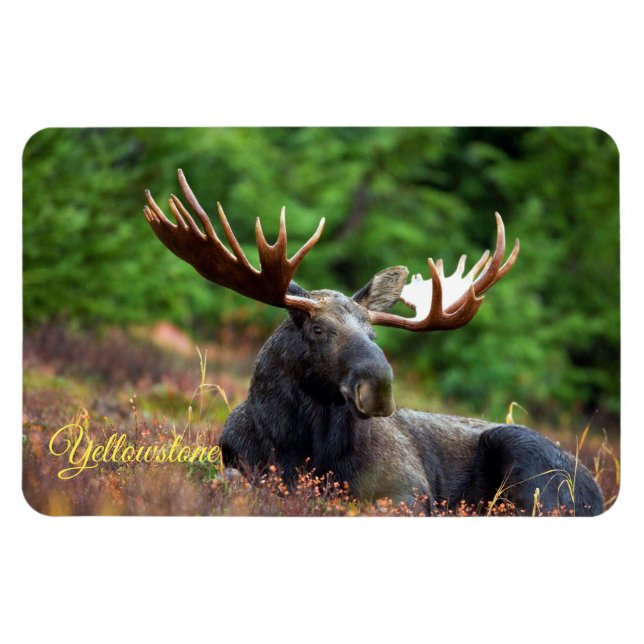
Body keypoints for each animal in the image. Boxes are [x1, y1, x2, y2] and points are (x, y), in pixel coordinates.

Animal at [143, 169, 605, 516]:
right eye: (318, 328)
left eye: (373, 333)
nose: (379, 387)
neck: (299, 447)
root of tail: (598, 491)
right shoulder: (239, 464)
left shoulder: (408, 487)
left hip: (530, 466)